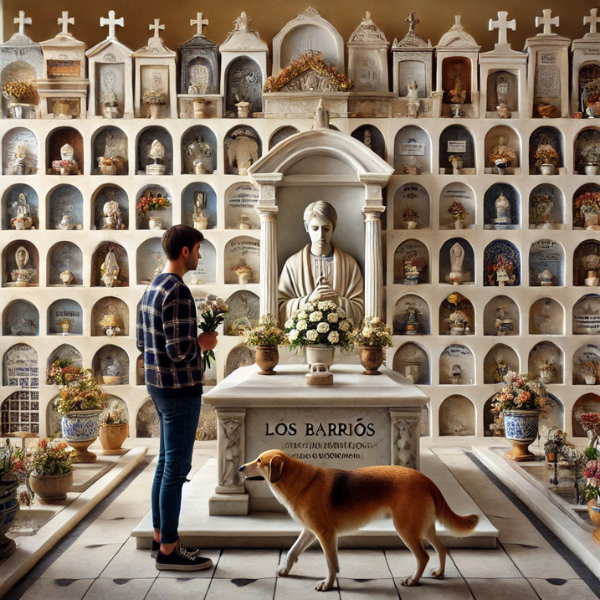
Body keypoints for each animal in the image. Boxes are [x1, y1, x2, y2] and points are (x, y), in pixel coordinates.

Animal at [239, 450, 478, 592]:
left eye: (259, 461)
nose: (240, 468)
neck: (301, 482)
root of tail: (425, 479)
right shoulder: (310, 532)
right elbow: (292, 552)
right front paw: (285, 570)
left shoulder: (325, 535)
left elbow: (331, 564)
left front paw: (328, 584)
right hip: (424, 528)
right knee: (441, 549)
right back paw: (440, 573)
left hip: (407, 529)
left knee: (424, 556)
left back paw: (413, 580)